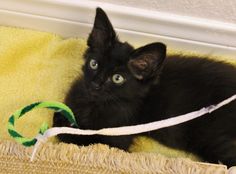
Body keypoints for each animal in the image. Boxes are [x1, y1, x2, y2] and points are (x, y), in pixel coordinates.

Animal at [53, 7, 236, 166]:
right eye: (94, 64)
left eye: (117, 78)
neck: (96, 104)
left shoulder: (118, 137)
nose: (95, 84)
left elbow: (81, 140)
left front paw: (67, 128)